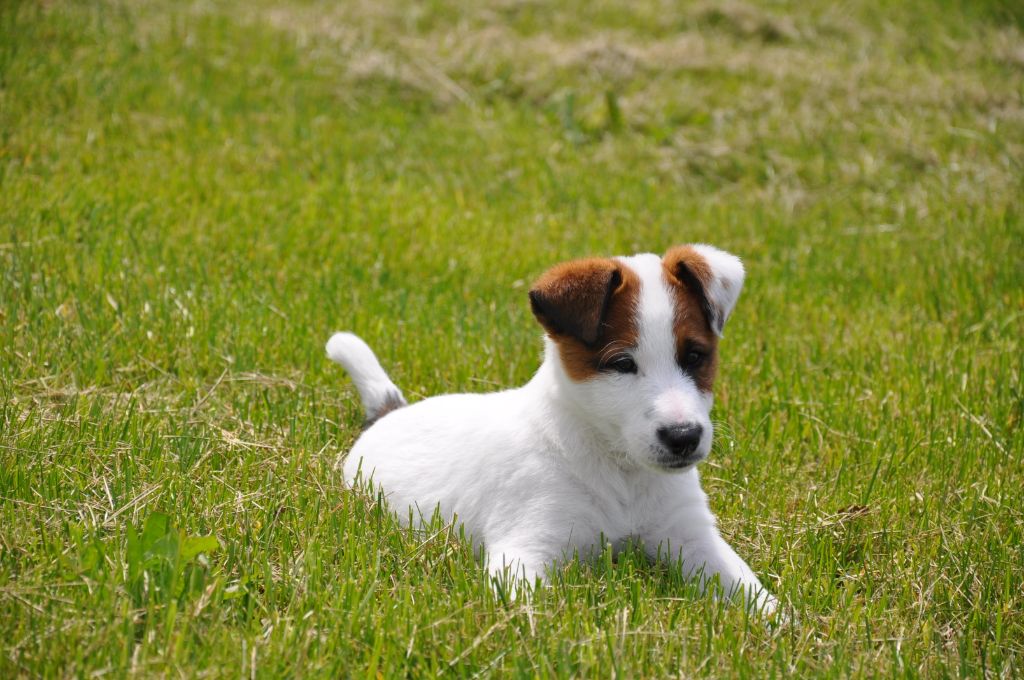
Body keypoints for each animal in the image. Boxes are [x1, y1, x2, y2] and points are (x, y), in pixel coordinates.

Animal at [327, 242, 774, 610]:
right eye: (622, 364)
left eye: (695, 356)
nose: (684, 437)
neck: (618, 470)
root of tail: (391, 412)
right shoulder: (525, 549)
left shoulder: (693, 538)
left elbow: (757, 597)